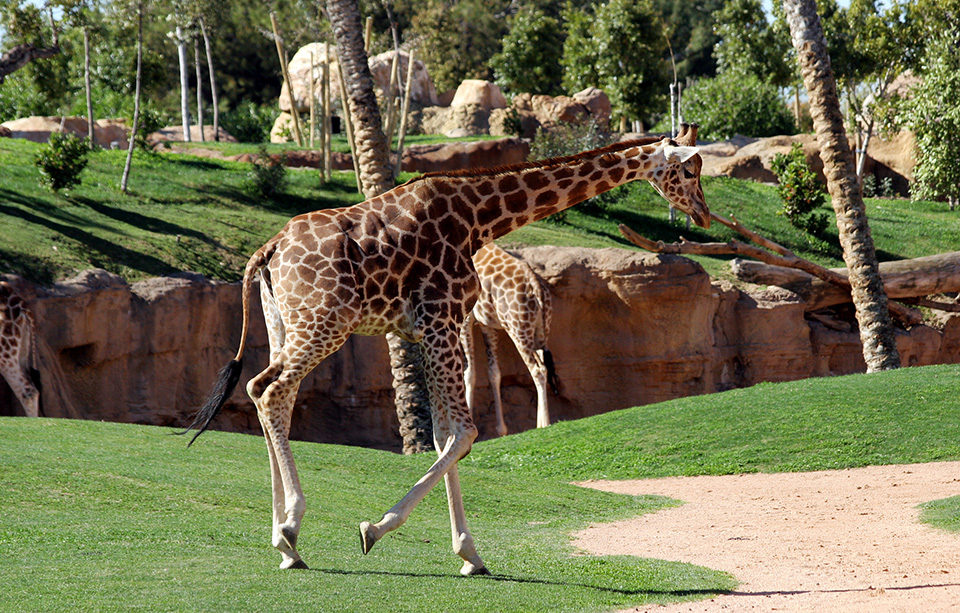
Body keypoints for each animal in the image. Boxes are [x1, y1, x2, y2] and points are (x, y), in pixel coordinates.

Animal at [462, 241, 560, 438]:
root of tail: (536, 287)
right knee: (544, 365)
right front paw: (501, 430)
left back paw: (544, 424)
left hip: (518, 329)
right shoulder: (486, 324)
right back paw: (539, 422)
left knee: (538, 369)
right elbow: (494, 373)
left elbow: (470, 372)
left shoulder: (465, 319)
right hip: (540, 331)